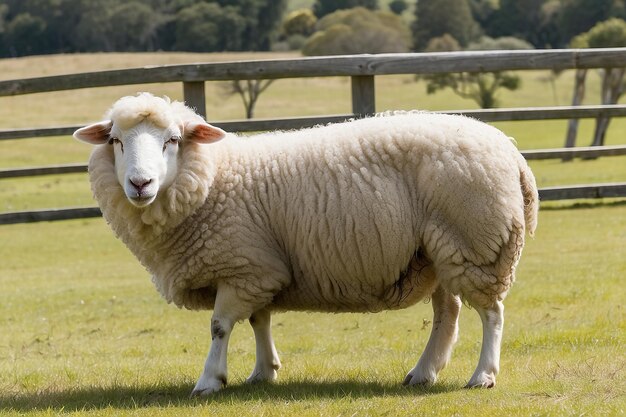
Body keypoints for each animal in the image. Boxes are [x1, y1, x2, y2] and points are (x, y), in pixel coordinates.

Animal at [74, 92, 536, 394]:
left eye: (172, 140)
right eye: (115, 141)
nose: (140, 184)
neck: (215, 177)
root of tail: (510, 150)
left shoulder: (242, 267)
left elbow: (220, 327)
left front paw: (209, 380)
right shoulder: (259, 268)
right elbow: (259, 320)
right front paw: (263, 372)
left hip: (477, 242)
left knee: (491, 313)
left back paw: (483, 375)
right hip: (438, 251)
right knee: (447, 314)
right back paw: (422, 372)